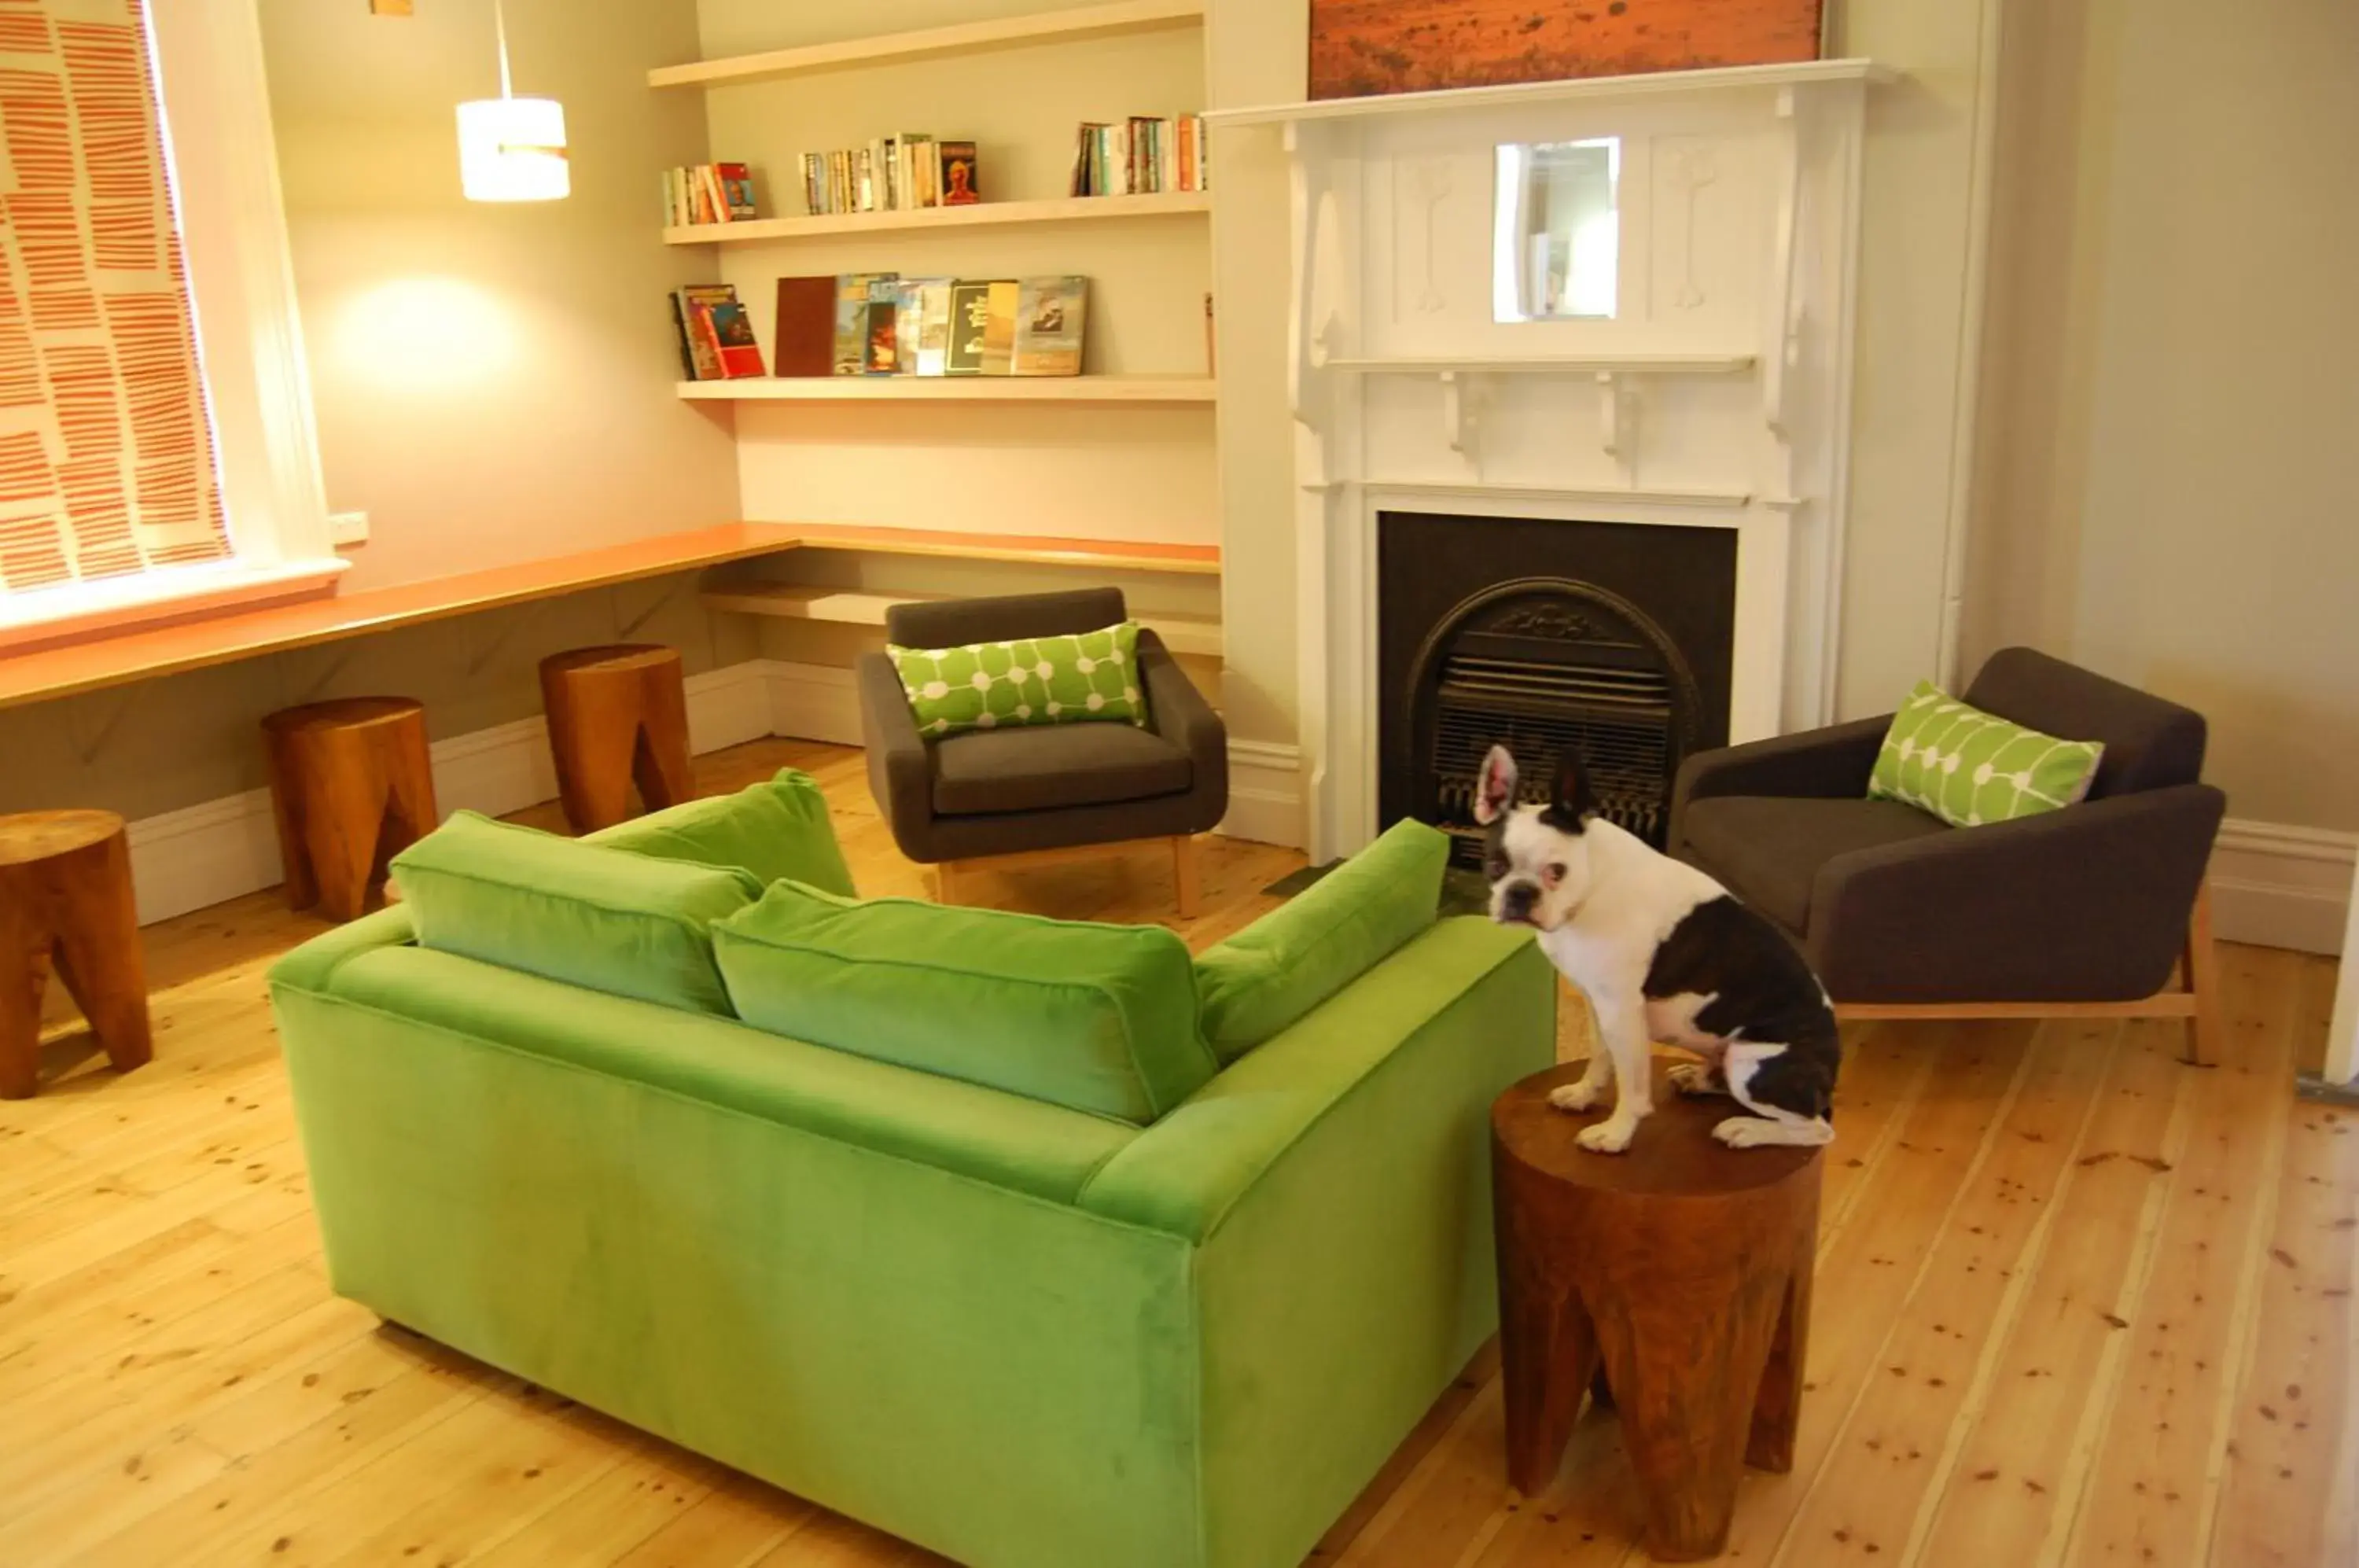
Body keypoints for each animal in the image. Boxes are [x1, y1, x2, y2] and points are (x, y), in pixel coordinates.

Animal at [1472, 745, 1840, 1150]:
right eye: (1495, 865)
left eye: (1557, 871)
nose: (1520, 893)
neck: (1592, 886)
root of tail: (1830, 1073)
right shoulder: (1598, 1004)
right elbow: (1600, 1056)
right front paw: (1583, 1094)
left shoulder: (1622, 1009)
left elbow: (1631, 1086)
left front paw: (1616, 1134)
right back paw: (1699, 1079)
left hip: (1750, 1063)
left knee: (1817, 1129)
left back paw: (1747, 1129)